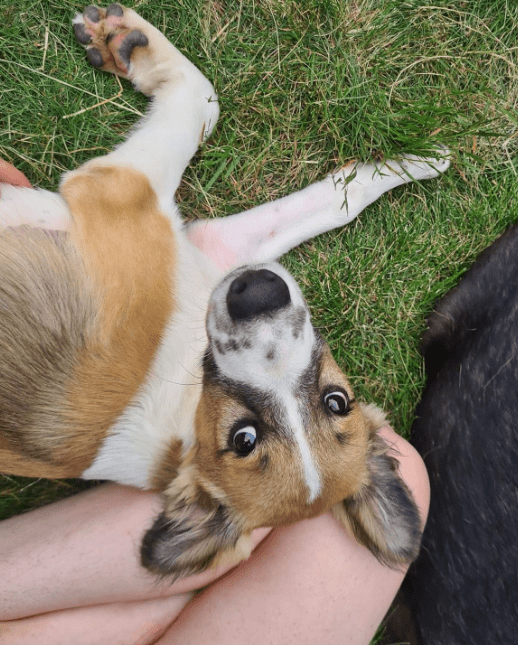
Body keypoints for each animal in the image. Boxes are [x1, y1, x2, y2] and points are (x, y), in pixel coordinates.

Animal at [0, 3, 448, 580]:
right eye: (338, 400)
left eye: (243, 438)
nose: (257, 293)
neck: (188, 385)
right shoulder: (209, 246)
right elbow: (323, 198)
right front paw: (415, 160)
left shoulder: (122, 194)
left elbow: (196, 97)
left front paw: (132, 43)